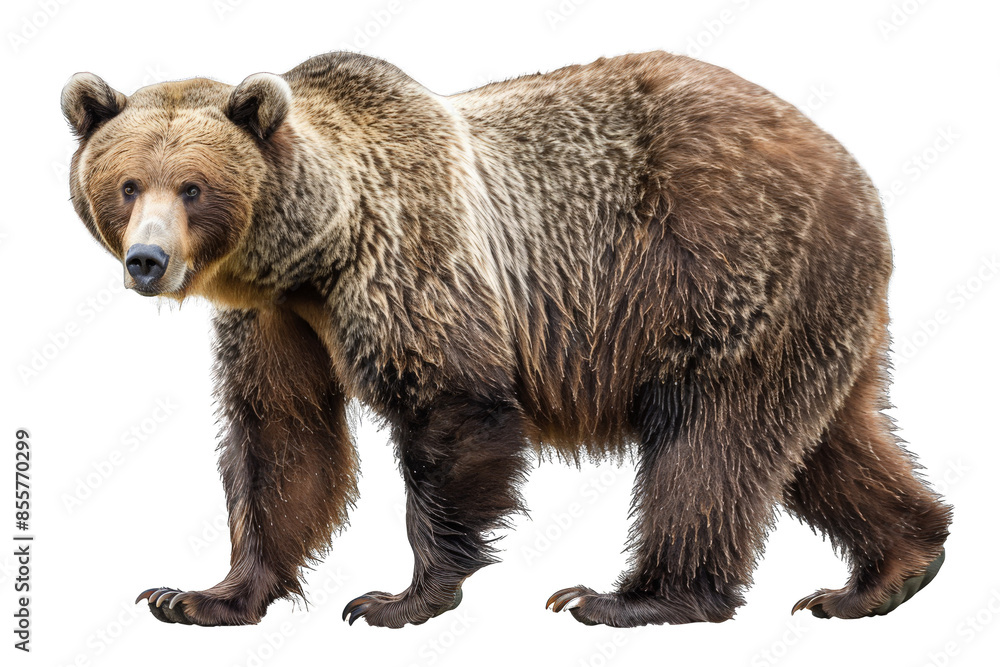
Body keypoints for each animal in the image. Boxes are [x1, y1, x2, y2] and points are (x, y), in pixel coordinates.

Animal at [61, 50, 951, 628]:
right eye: (126, 184)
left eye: (192, 187)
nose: (148, 261)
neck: (313, 251)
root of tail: (853, 170)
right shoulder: (277, 318)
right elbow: (282, 436)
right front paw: (199, 595)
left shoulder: (412, 262)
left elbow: (452, 405)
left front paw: (399, 598)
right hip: (813, 312)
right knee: (829, 441)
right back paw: (888, 571)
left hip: (724, 273)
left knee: (709, 444)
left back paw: (628, 597)